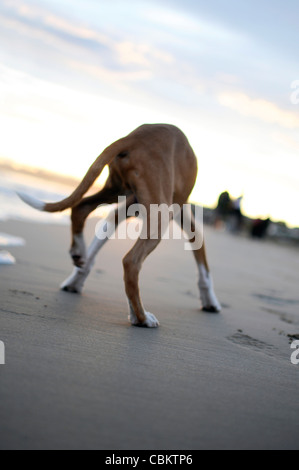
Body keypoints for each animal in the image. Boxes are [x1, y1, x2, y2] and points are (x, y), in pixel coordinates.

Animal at [18, 123, 220, 324]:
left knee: (80, 208)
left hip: (115, 190)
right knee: (131, 262)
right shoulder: (179, 211)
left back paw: (78, 252)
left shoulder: (127, 207)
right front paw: (210, 300)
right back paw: (141, 317)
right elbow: (202, 259)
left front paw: (76, 279)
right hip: (160, 215)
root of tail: (136, 137)